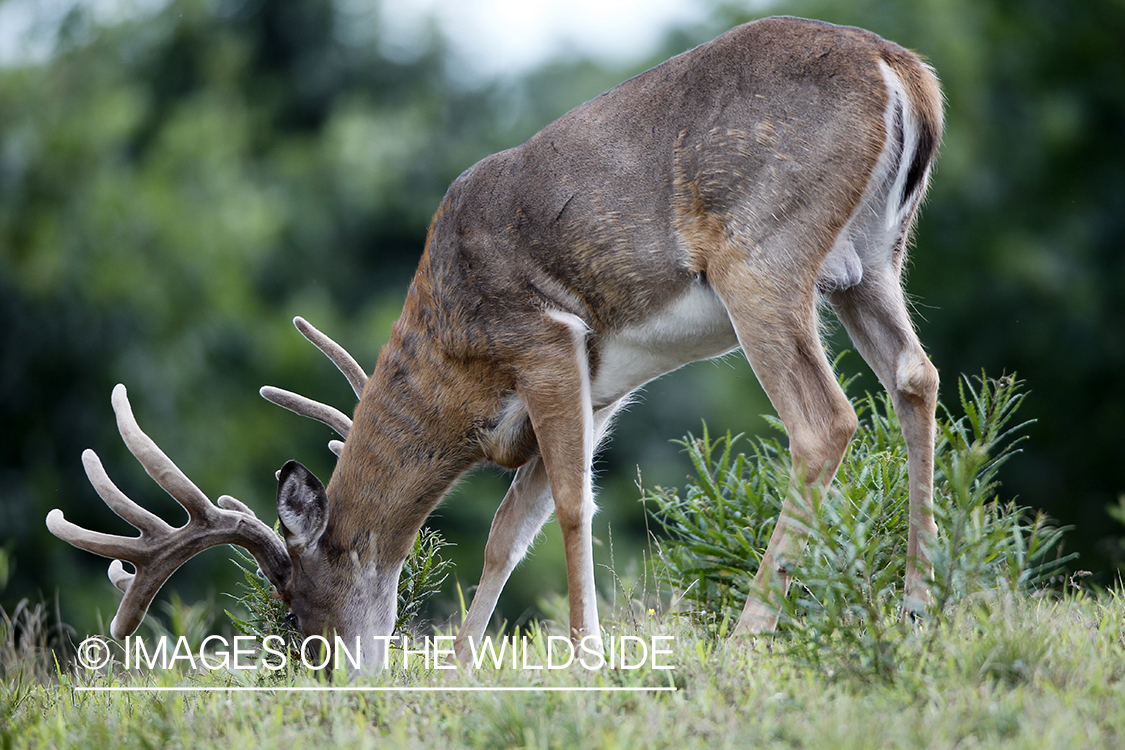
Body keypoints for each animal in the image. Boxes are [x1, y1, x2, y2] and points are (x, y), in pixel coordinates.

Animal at [46, 17, 940, 670]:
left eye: (291, 600)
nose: (323, 671)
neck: (456, 383)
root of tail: (903, 70)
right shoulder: (599, 385)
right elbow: (508, 532)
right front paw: (460, 666)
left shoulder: (541, 339)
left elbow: (572, 504)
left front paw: (584, 659)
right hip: (871, 263)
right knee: (915, 377)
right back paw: (916, 604)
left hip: (760, 257)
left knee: (824, 421)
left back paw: (748, 638)